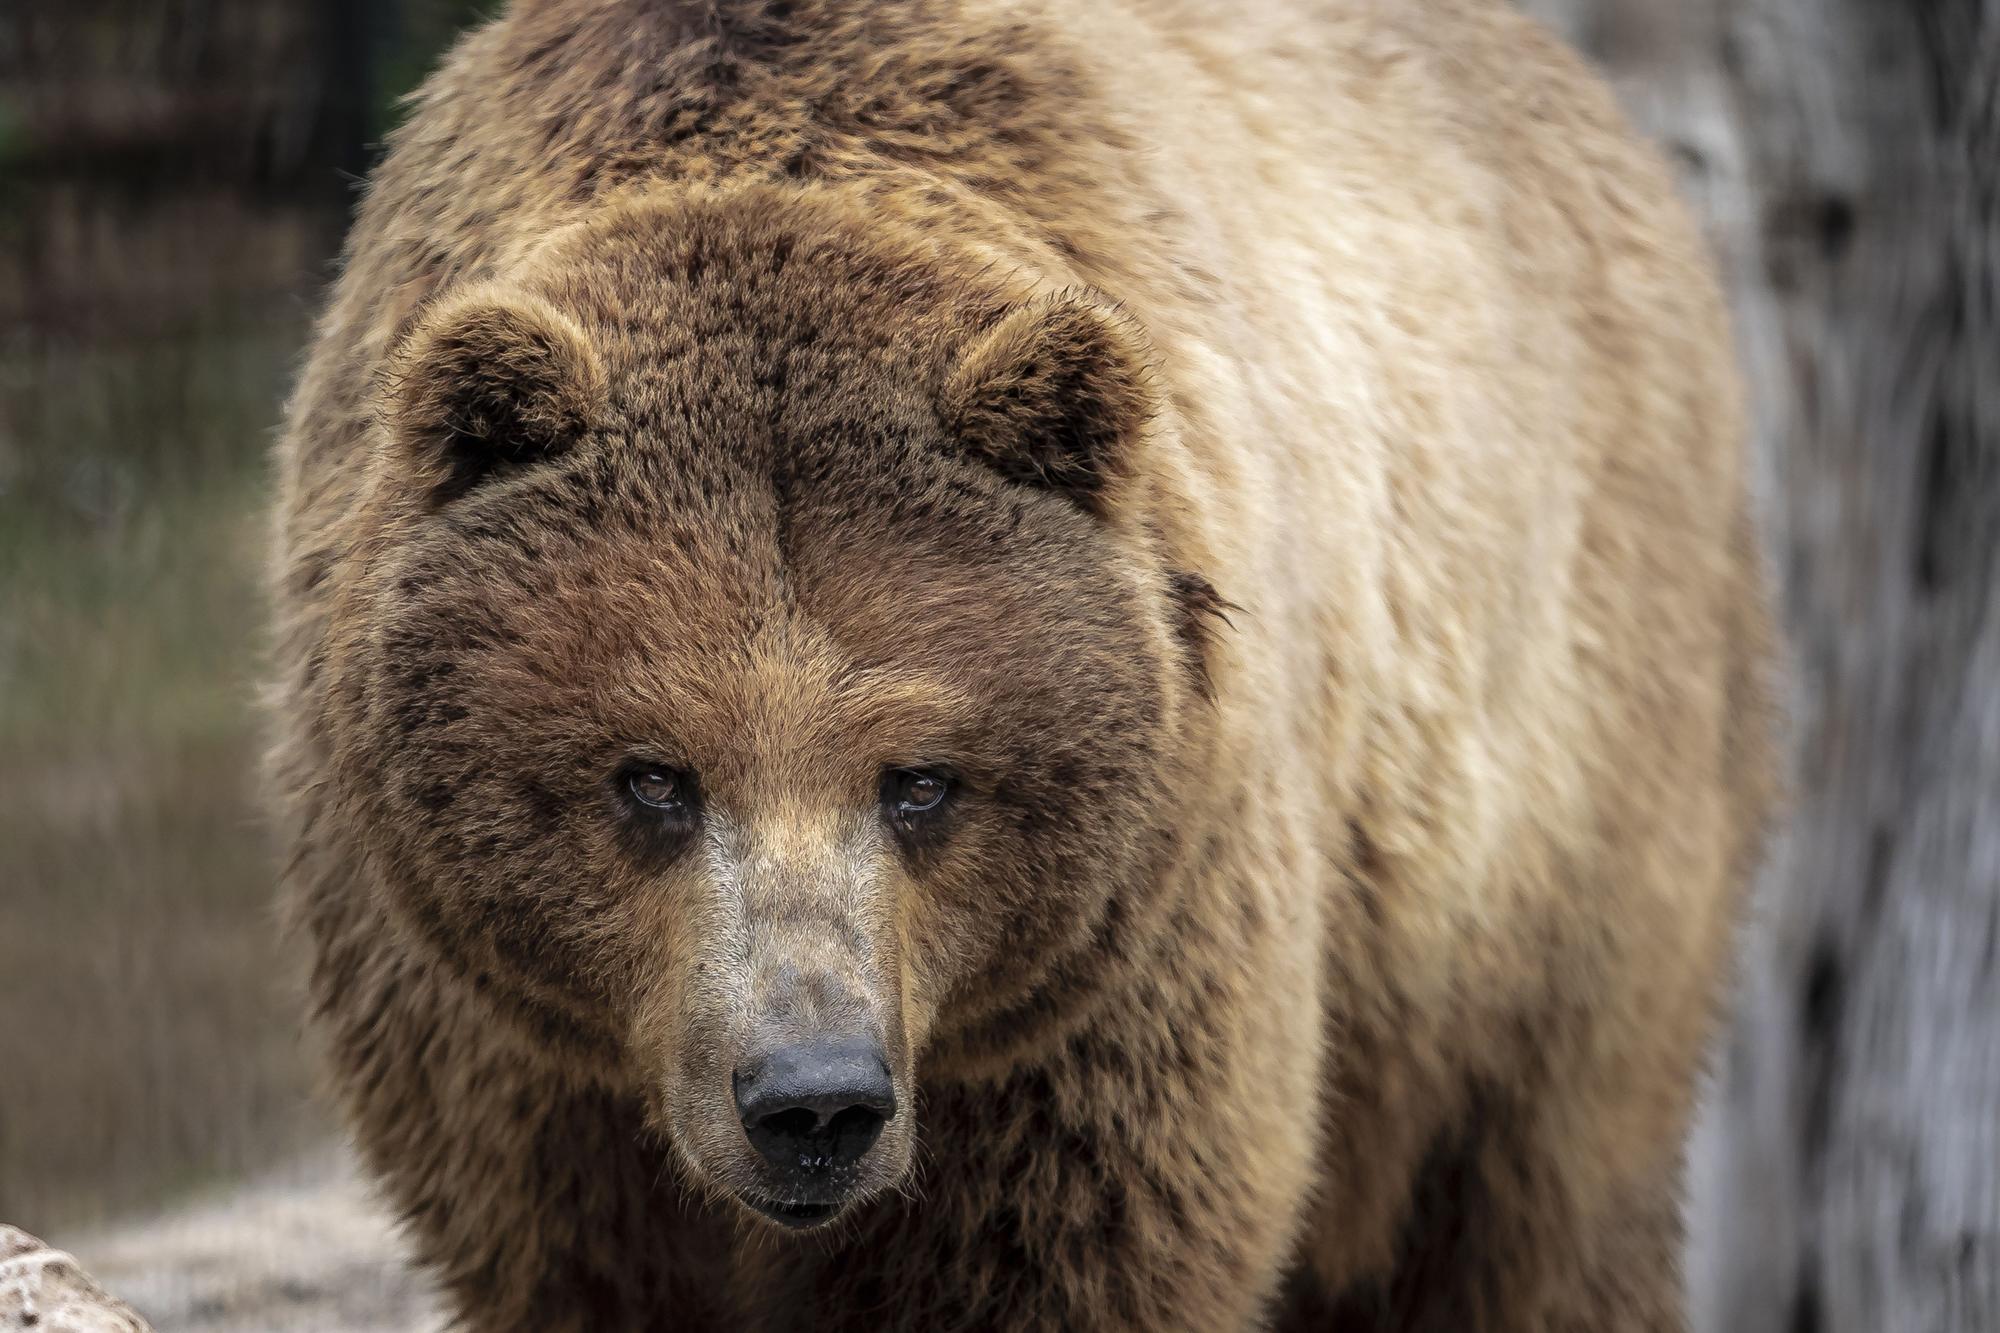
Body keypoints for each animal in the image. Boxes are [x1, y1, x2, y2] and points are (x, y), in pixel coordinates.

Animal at [270, 0, 1784, 1320]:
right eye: (651, 774)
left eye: (921, 778)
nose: (812, 1101)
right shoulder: (515, 1062)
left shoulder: (1110, 995)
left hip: (1546, 823)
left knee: (1534, 1214)